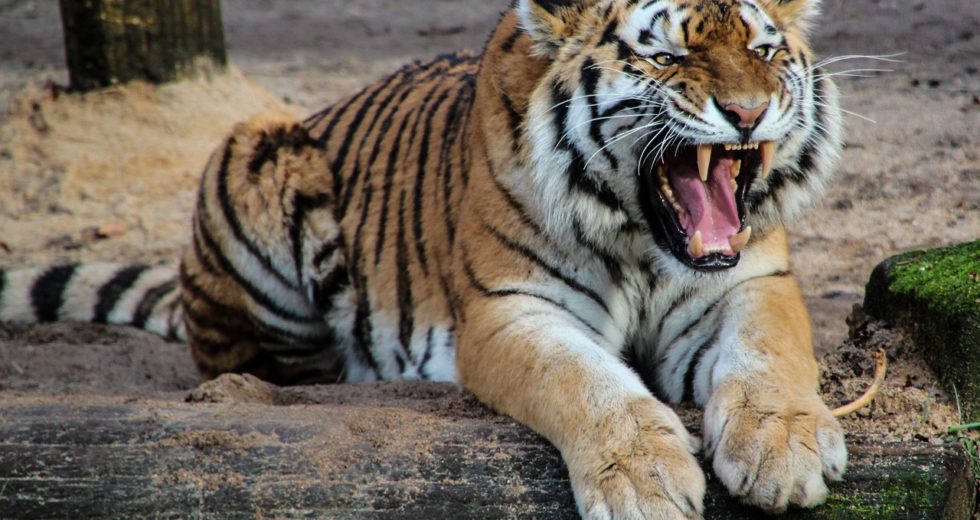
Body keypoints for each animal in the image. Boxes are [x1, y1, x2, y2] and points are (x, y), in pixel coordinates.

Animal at [0, 0, 848, 517]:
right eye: (668, 56)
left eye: (764, 49)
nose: (748, 113)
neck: (643, 239)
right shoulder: (509, 310)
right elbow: (586, 383)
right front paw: (645, 480)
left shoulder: (751, 282)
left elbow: (770, 355)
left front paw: (785, 449)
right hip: (255, 150)